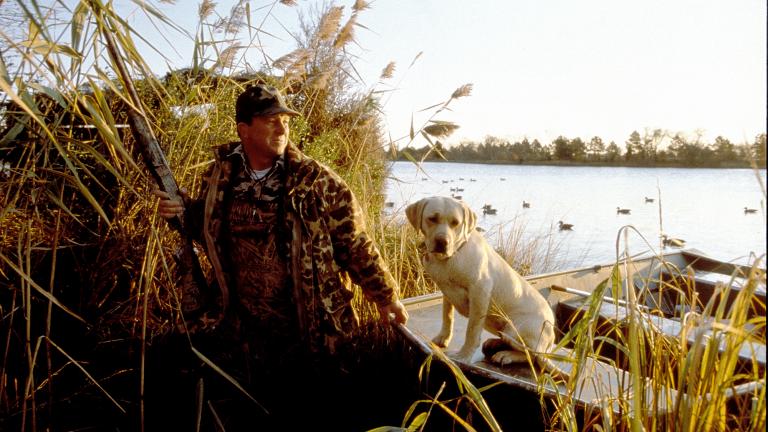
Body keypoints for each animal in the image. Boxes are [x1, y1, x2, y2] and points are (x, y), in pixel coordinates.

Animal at [408, 197, 560, 370]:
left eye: (455, 223)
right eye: (432, 218)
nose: (442, 242)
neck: (454, 254)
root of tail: (549, 343)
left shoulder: (480, 292)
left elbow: (472, 330)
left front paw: (463, 356)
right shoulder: (446, 291)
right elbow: (447, 316)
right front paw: (443, 338)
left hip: (514, 330)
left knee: (532, 357)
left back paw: (506, 355)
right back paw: (495, 343)